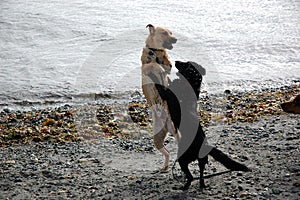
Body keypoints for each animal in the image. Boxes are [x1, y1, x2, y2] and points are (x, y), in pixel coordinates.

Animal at [141, 23, 178, 170]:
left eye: (171, 33)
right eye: (164, 33)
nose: (175, 39)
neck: (155, 51)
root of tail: (166, 123)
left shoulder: (168, 67)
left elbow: (163, 67)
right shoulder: (145, 67)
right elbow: (152, 64)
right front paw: (156, 66)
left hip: (174, 130)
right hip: (157, 138)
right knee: (166, 151)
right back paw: (164, 167)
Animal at [156, 61, 250, 191]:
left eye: (184, 63)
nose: (175, 61)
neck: (190, 83)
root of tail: (205, 145)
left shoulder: (166, 93)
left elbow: (159, 85)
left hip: (183, 159)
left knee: (190, 176)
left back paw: (185, 186)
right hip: (201, 161)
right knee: (201, 174)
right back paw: (201, 185)